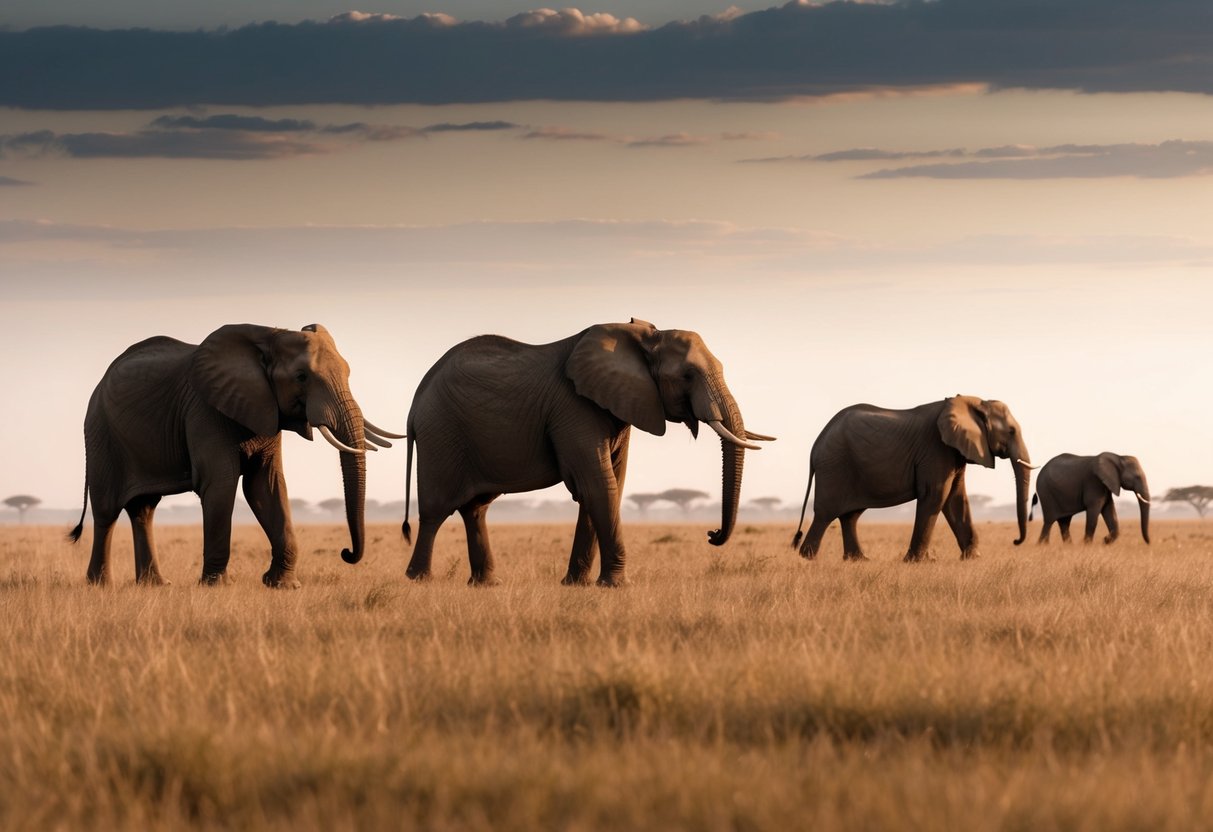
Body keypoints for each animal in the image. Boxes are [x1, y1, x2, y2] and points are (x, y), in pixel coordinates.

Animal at [69, 322, 402, 589]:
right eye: (301, 377)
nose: (346, 553)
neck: (269, 335)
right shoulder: (205, 411)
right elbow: (221, 484)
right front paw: (216, 587)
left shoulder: (265, 410)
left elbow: (265, 486)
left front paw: (282, 586)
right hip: (100, 433)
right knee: (107, 511)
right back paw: (100, 585)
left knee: (144, 509)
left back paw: (155, 585)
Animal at [400, 320, 776, 587]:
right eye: (687, 375)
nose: (712, 535)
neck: (643, 336)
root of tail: (415, 402)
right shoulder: (574, 406)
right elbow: (599, 483)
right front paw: (618, 586)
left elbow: (607, 485)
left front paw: (575, 584)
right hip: (441, 434)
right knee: (435, 510)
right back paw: (419, 580)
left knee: (476, 509)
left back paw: (487, 584)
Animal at [795, 395, 1033, 562]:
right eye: (1011, 431)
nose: (1016, 540)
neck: (971, 402)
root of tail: (816, 444)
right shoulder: (935, 449)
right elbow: (936, 495)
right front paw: (919, 562)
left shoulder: (954, 451)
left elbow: (956, 498)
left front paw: (973, 559)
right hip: (834, 467)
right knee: (825, 514)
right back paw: (808, 558)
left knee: (850, 516)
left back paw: (859, 560)